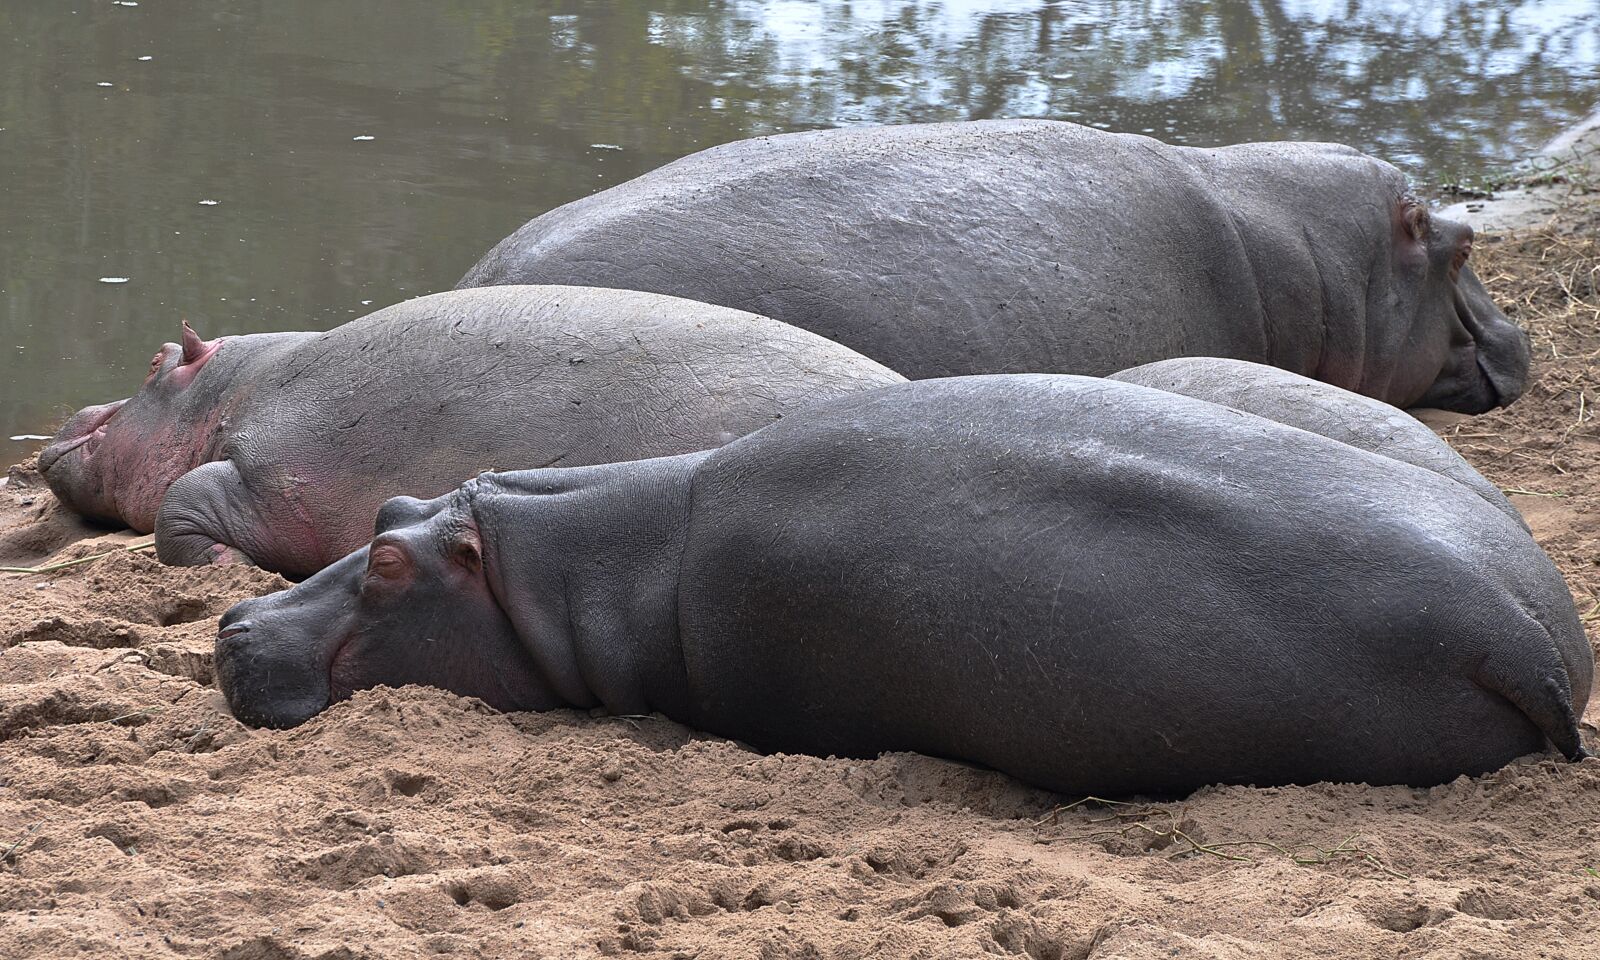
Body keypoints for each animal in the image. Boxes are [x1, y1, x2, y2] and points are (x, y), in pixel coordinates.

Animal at [39, 285, 902, 578]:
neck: (228, 395)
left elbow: (181, 504)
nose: (71, 416)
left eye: (153, 361)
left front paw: (227, 568)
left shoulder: (259, 472)